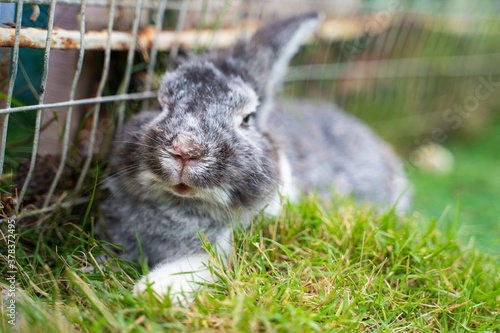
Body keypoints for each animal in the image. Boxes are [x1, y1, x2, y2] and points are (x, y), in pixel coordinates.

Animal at [100, 11, 410, 300]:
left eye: (247, 118)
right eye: (159, 103)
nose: (185, 149)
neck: (187, 204)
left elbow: (213, 264)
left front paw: (153, 289)